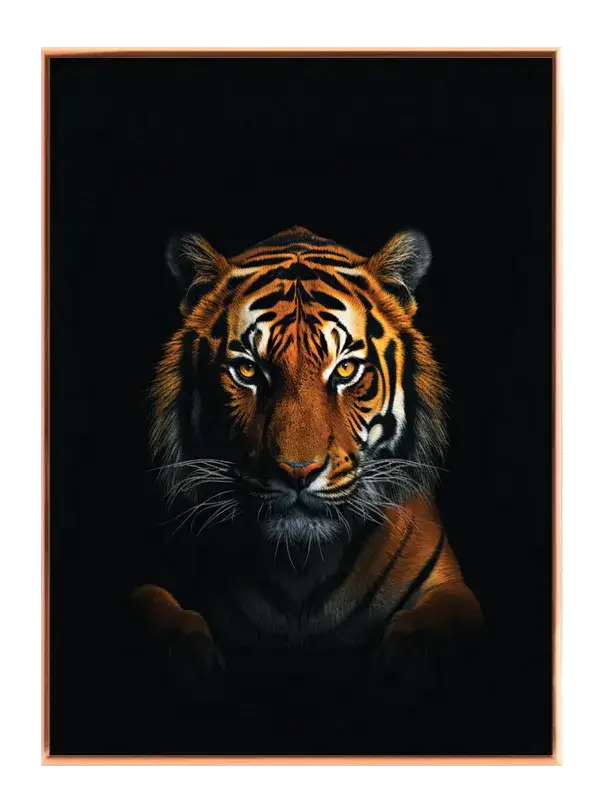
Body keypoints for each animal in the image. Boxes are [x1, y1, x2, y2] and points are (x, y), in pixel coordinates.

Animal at [131, 225, 483, 692]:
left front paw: (416, 653)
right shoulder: (155, 571)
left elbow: (443, 619)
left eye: (346, 370)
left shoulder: (449, 586)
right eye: (248, 371)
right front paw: (180, 652)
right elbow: (151, 604)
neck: (299, 566)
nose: (298, 472)